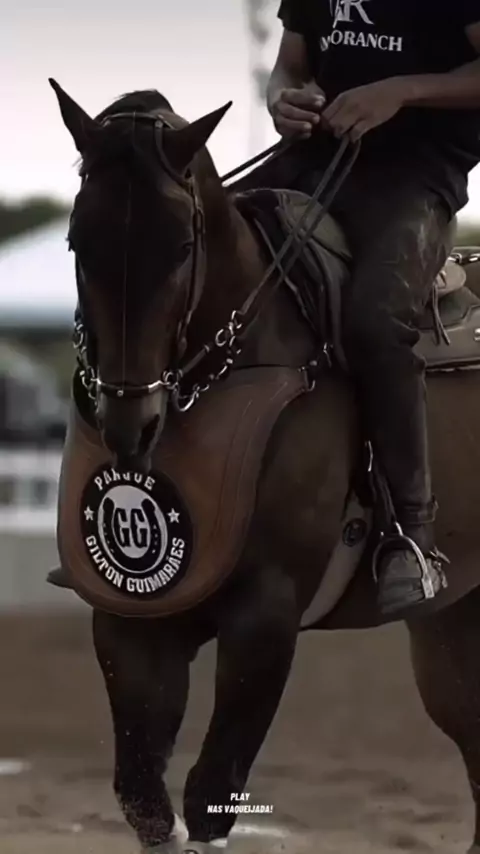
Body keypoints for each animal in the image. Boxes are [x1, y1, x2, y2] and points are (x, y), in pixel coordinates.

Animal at [49, 79, 480, 853]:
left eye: (181, 246)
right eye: (77, 241)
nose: (131, 424)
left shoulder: (265, 619)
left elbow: (211, 791)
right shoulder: (131, 624)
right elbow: (144, 797)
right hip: (453, 622)